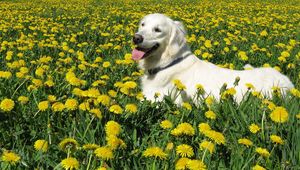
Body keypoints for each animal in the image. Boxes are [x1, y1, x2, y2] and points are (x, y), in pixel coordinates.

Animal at [131, 13, 292, 103]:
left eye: (157, 30)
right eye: (142, 24)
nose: (136, 38)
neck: (168, 63)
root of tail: (289, 83)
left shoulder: (157, 98)